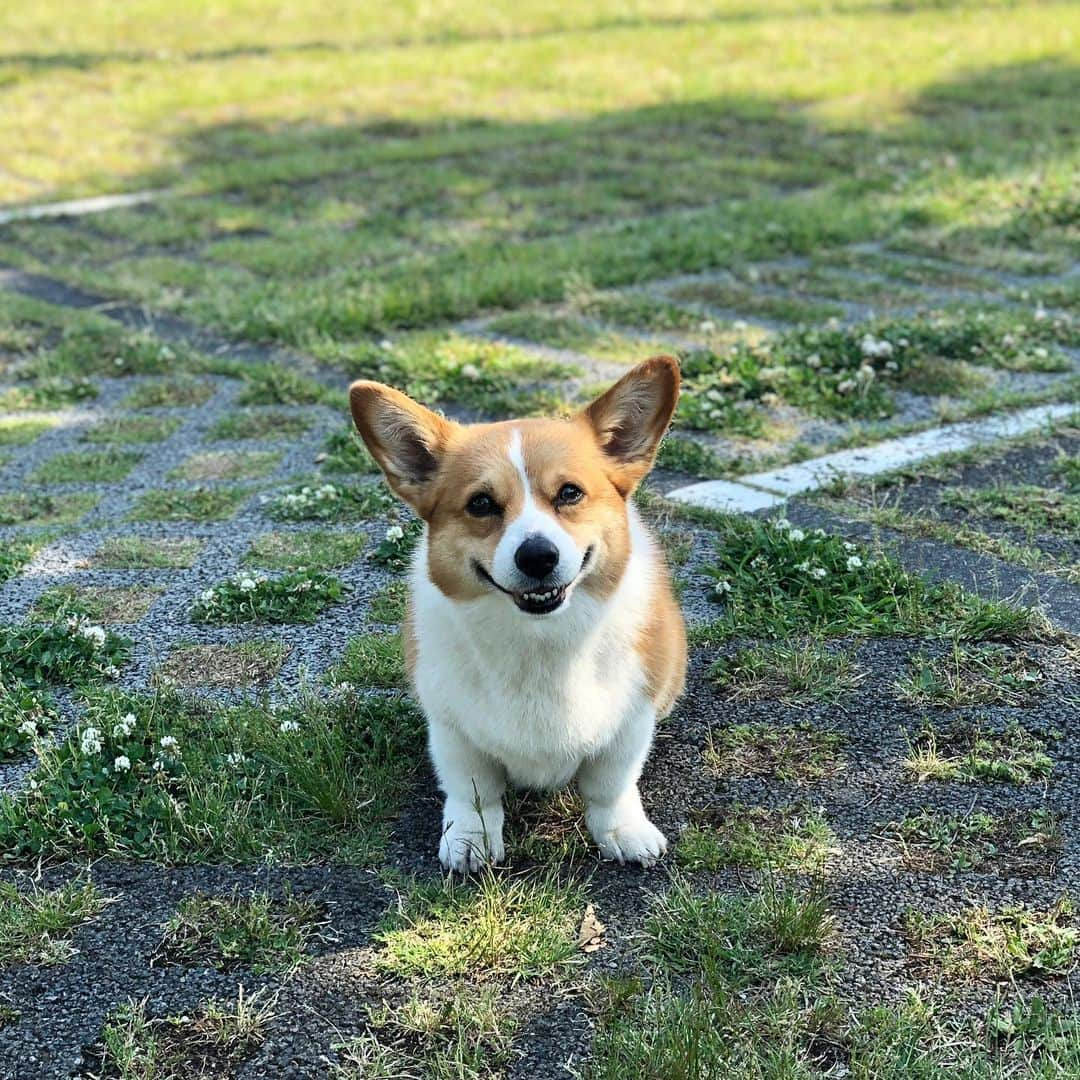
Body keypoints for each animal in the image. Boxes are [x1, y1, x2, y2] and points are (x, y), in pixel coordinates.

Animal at [349, 358, 686, 872]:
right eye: (481, 503)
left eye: (570, 493)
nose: (538, 557)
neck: (539, 640)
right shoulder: (453, 729)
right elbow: (473, 791)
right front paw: (470, 839)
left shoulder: (630, 722)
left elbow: (611, 784)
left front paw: (622, 831)